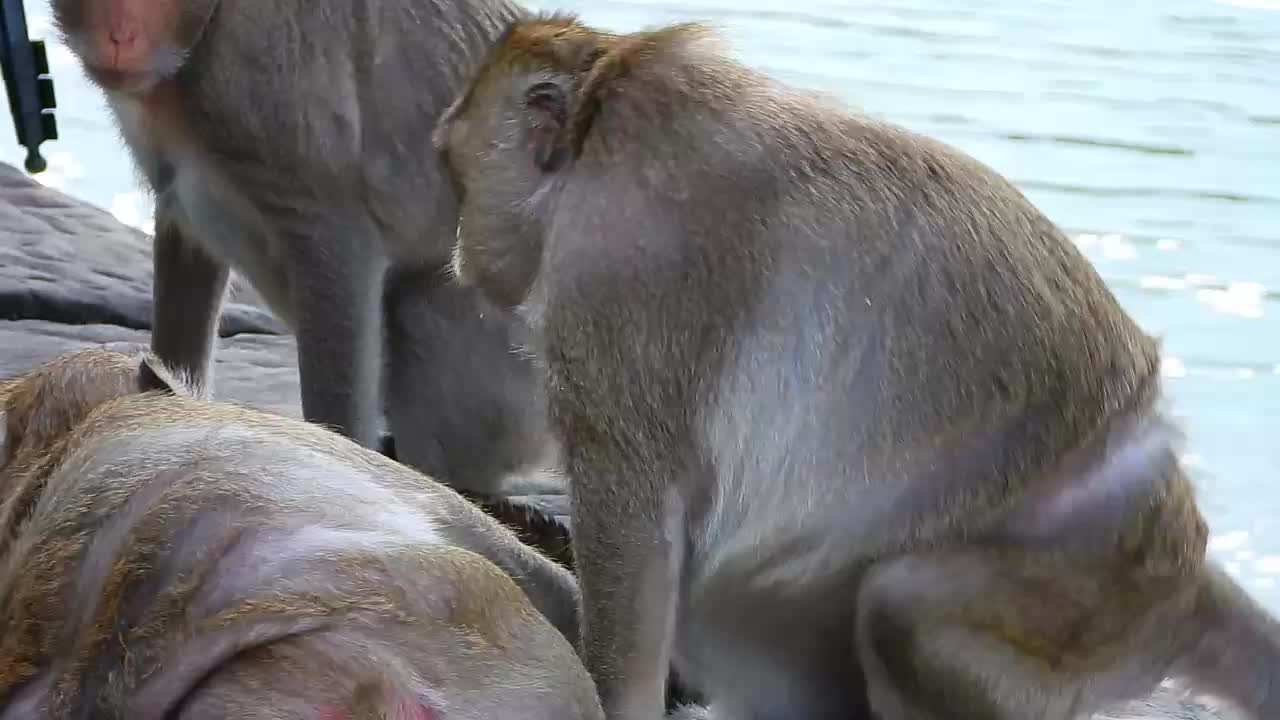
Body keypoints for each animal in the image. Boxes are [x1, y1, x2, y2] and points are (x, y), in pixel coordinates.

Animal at [432, 15, 1280, 720]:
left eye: (457, 174)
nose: (461, 248)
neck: (602, 117)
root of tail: (1184, 575)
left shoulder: (618, 276)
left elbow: (631, 512)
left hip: (1072, 606)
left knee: (896, 609)